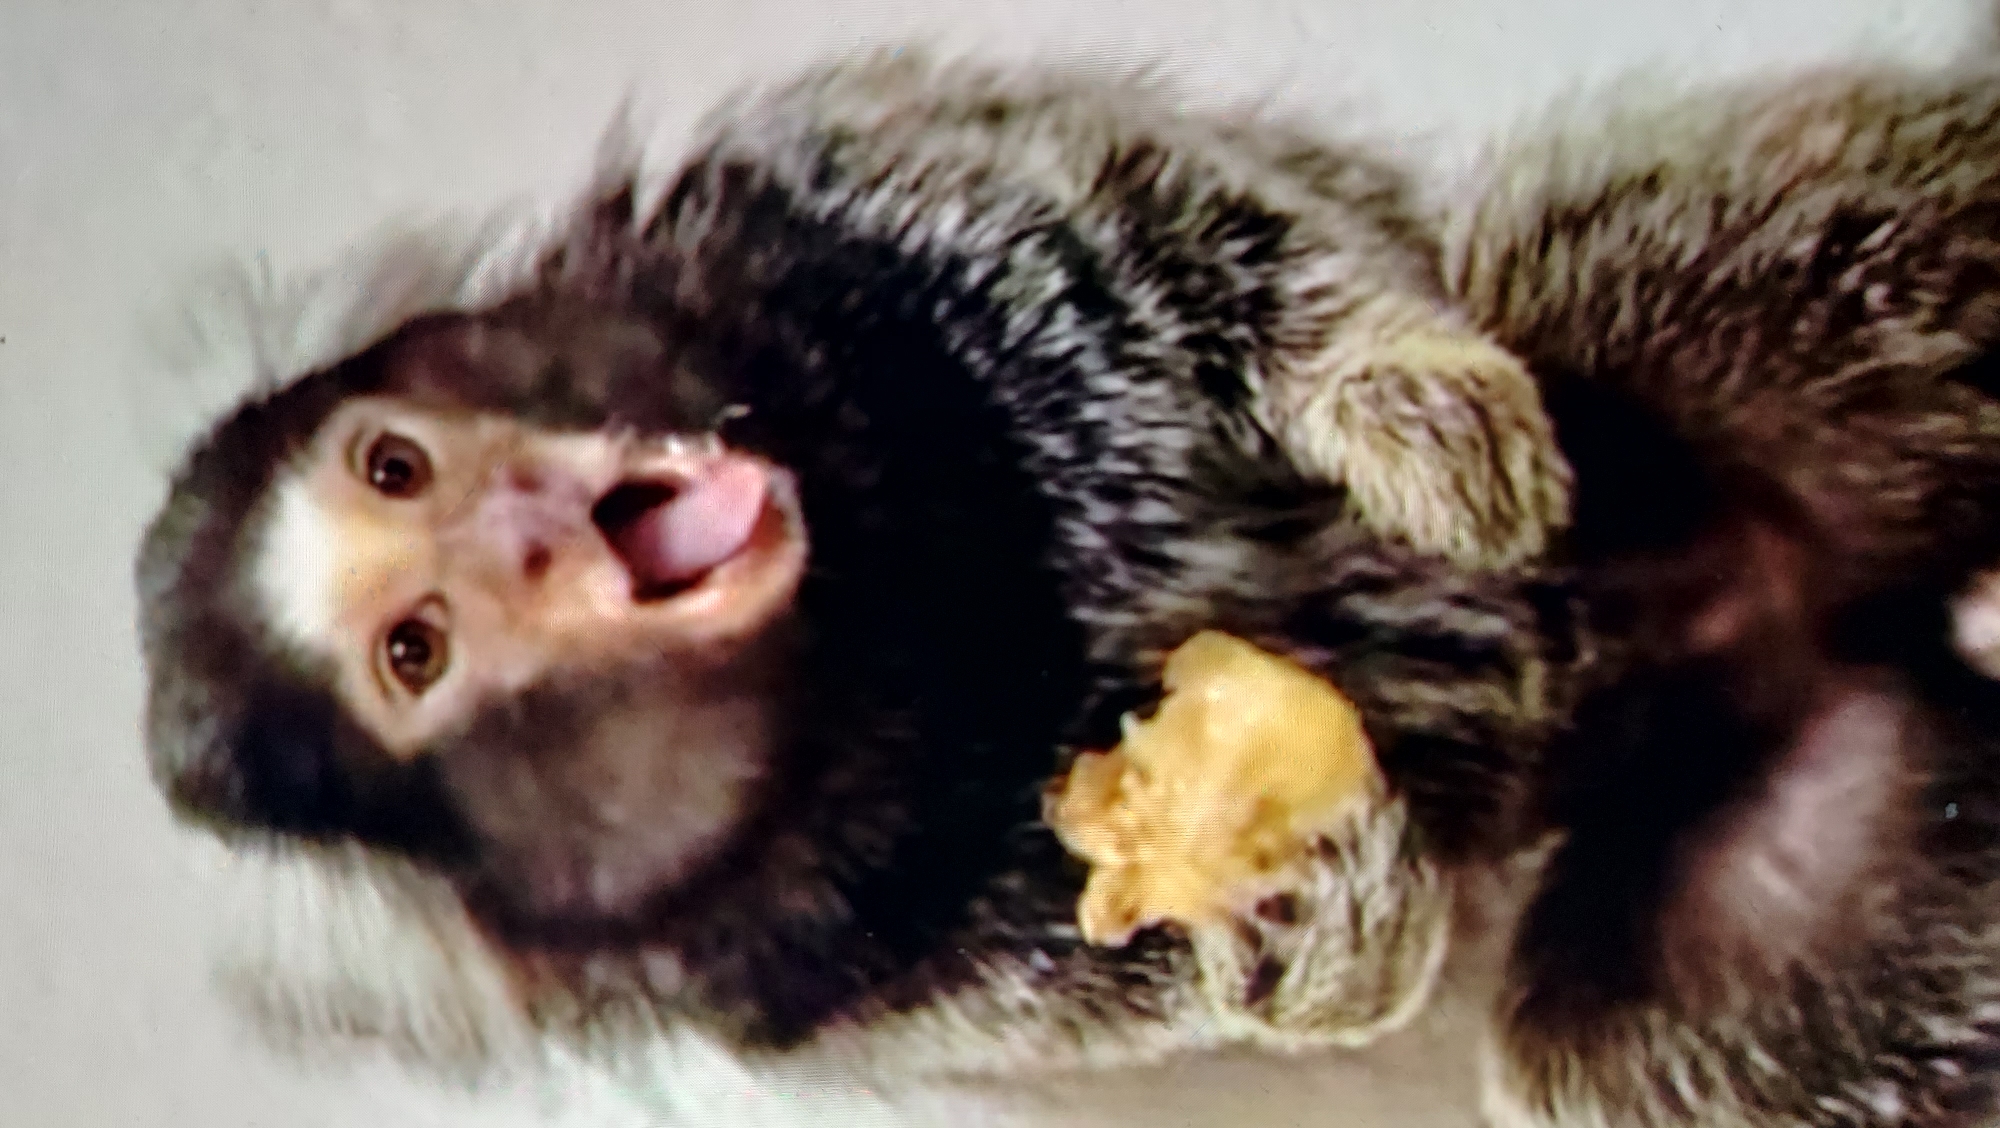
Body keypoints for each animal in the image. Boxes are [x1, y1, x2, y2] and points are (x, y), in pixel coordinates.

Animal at [134, 48, 1582, 1100]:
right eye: (415, 649)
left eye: (392, 465)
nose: (524, 531)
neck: (888, 604)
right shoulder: (837, 971)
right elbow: (1120, 983)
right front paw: (1293, 909)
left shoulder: (861, 228)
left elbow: (1157, 221)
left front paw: (1413, 415)